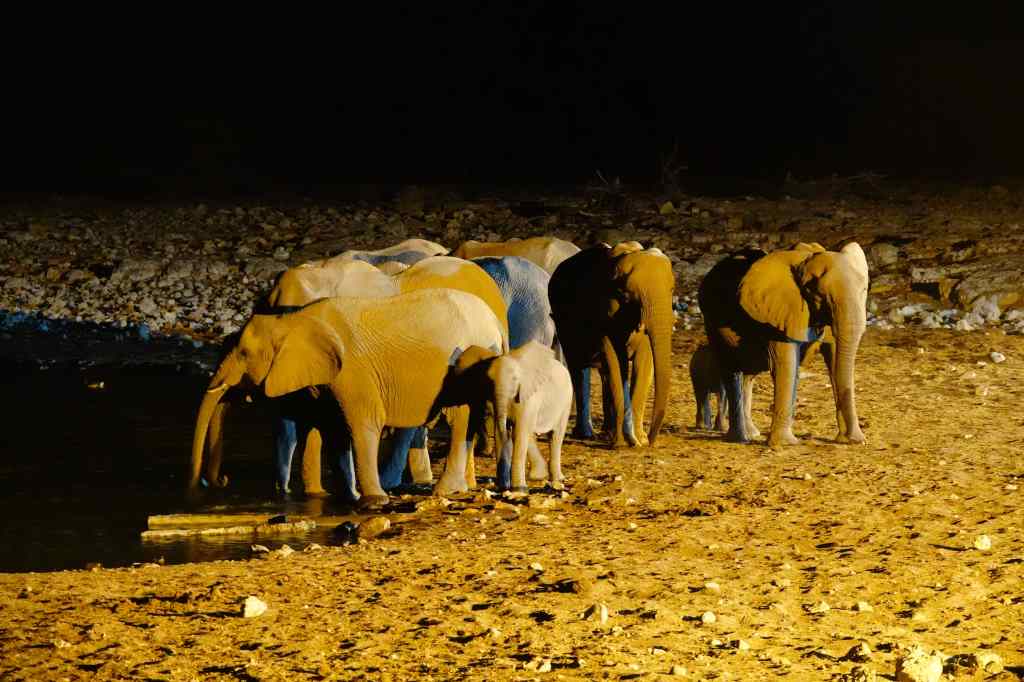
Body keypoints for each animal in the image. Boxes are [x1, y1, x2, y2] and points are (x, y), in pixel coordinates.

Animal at [443, 341, 572, 491]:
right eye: (489, 382)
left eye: (515, 379)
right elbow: (501, 433)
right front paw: (504, 488)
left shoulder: (528, 397)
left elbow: (519, 433)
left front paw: (519, 490)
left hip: (566, 401)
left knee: (556, 436)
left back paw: (558, 479)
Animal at [548, 242, 675, 448]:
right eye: (628, 294)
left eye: (672, 290)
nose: (651, 440)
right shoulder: (602, 312)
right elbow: (614, 360)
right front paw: (621, 443)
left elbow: (643, 364)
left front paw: (638, 440)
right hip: (562, 322)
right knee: (579, 368)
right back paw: (587, 434)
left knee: (603, 373)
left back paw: (607, 433)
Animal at [697, 242, 869, 447]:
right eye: (818, 295)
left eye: (864, 290)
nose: (855, 441)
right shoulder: (778, 313)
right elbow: (785, 364)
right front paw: (786, 443)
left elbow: (834, 358)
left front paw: (852, 440)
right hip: (712, 323)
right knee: (732, 371)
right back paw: (739, 438)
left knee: (748, 374)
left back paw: (752, 433)